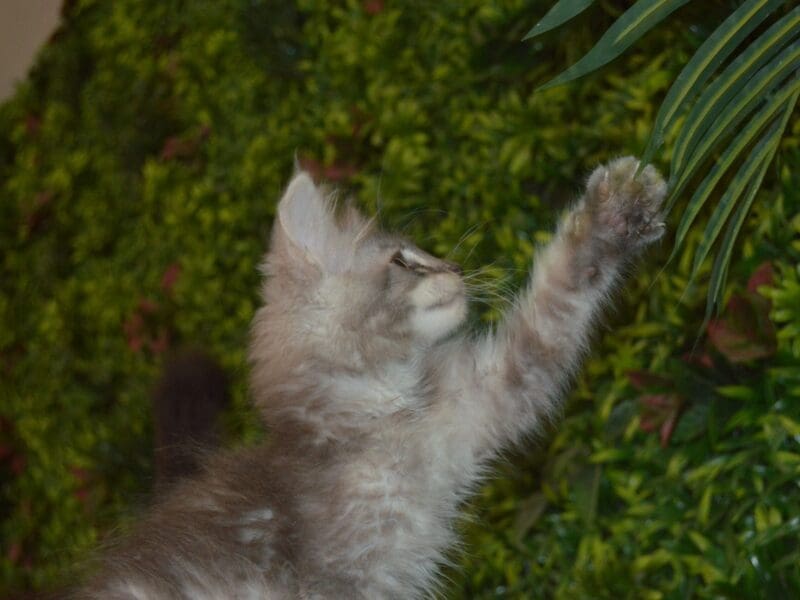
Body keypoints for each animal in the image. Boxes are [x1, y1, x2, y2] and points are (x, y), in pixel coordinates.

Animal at [79, 157, 668, 596]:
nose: (456, 270)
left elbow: (557, 300)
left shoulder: (483, 395)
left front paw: (617, 214)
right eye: (404, 262)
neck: (375, 414)